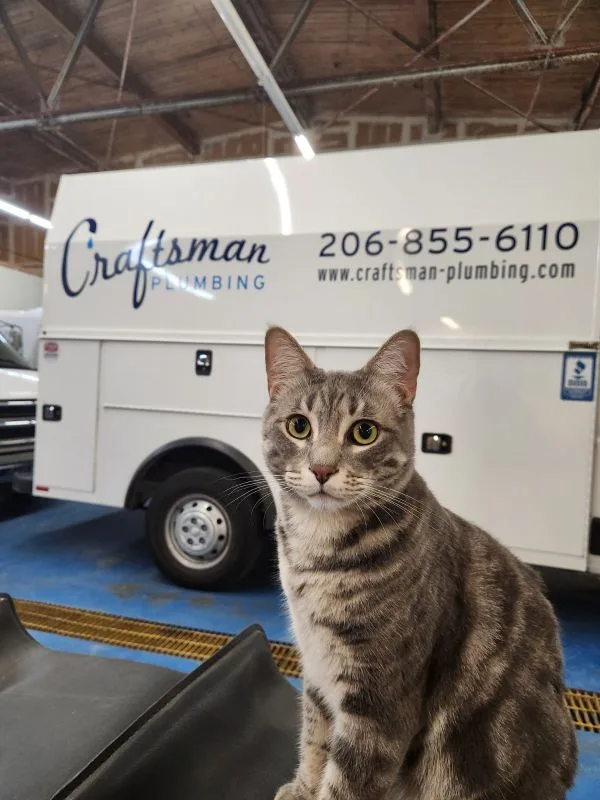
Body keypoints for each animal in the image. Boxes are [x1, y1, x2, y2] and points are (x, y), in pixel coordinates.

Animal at [262, 326, 576, 800]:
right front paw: (302, 787)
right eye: (299, 425)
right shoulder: (316, 667)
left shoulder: (380, 704)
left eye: (364, 432)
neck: (317, 554)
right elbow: (314, 737)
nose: (321, 469)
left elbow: (344, 784)